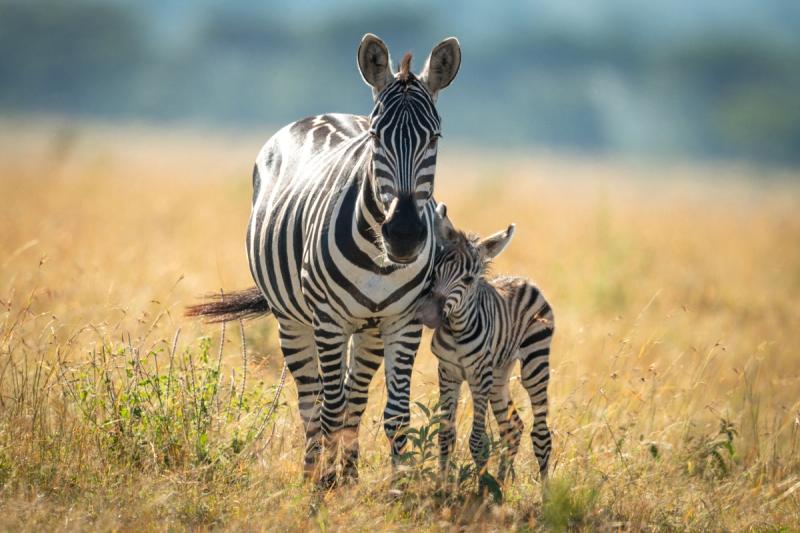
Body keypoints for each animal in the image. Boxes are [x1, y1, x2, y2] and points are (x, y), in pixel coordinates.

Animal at [187, 34, 461, 486]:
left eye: (435, 138)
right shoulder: (329, 321)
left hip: (368, 328)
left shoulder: (403, 322)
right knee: (313, 402)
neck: (380, 261)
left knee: (354, 397)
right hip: (293, 320)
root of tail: (320, 115)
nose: (404, 234)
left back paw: (348, 475)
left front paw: (396, 488)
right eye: (376, 137)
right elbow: (329, 411)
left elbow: (396, 416)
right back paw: (315, 470)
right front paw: (322, 489)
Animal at [415, 204, 554, 482]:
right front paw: (444, 486)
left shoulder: (479, 376)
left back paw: (545, 491)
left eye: (469, 279)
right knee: (512, 427)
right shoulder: (448, 372)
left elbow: (478, 441)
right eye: (435, 271)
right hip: (499, 373)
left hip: (534, 363)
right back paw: (501, 483)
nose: (427, 315)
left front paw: (480, 488)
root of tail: (524, 279)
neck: (457, 330)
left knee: (541, 435)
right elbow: (446, 435)